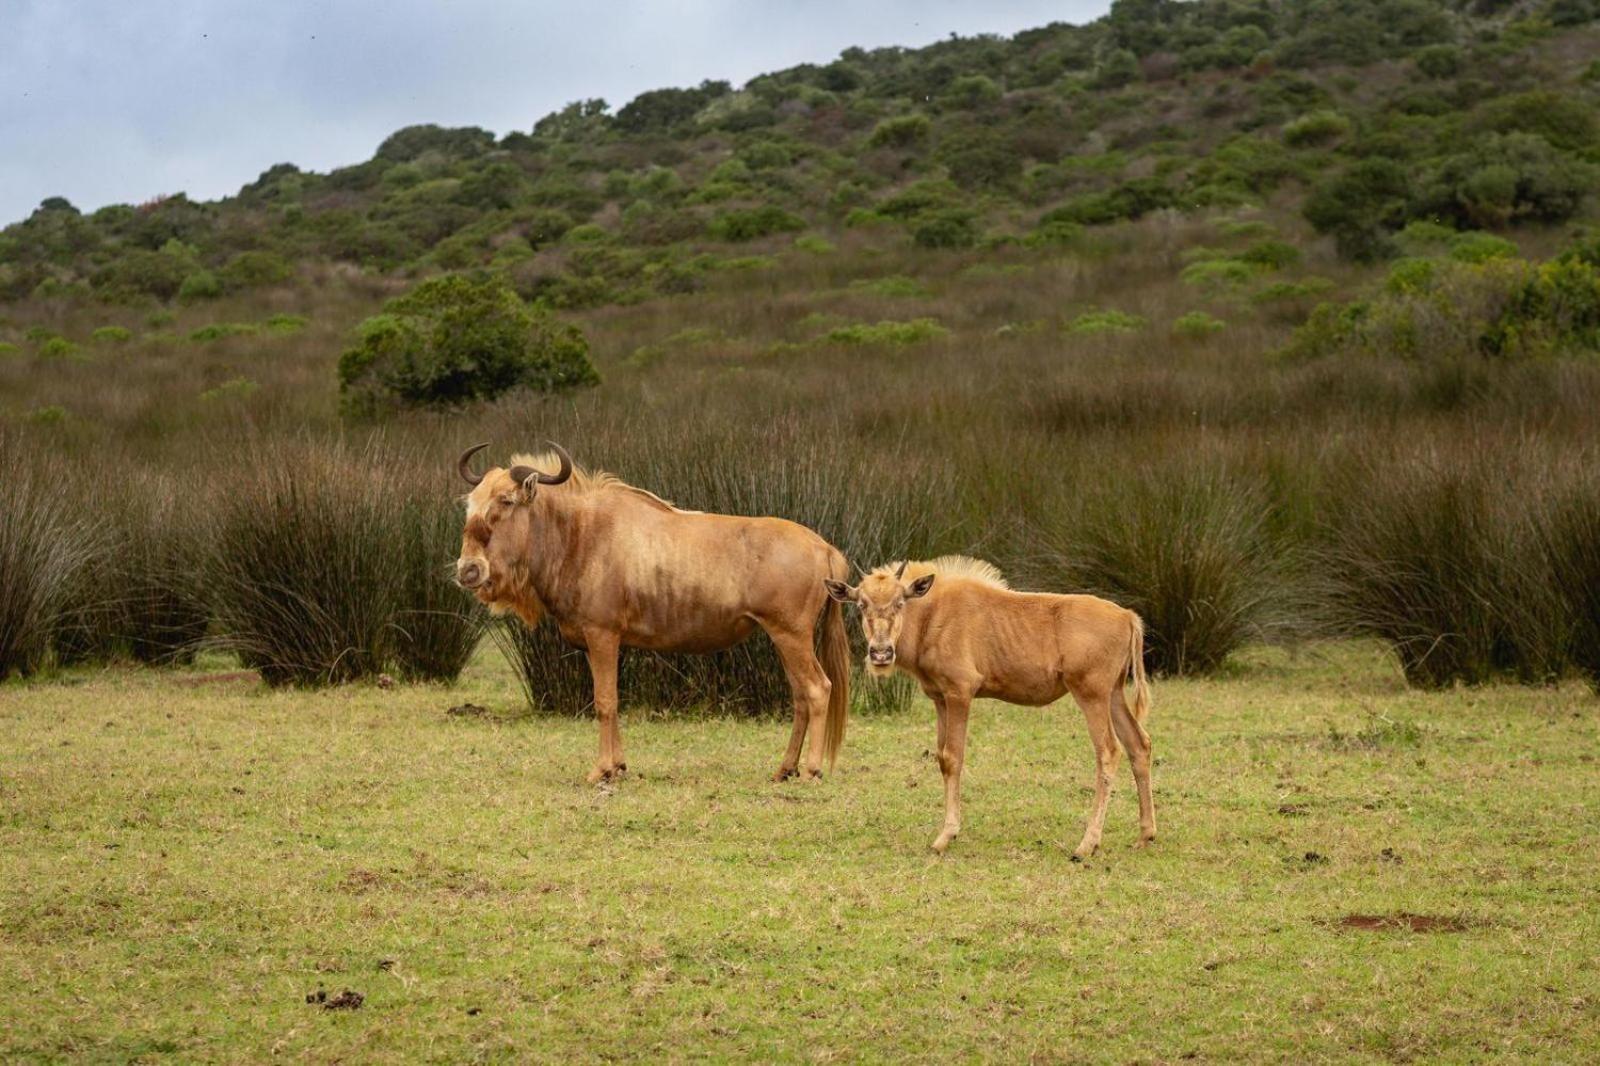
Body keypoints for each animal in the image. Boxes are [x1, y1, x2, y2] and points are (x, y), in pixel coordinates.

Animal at [825, 557, 1152, 857]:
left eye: (900, 602)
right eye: (861, 604)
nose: (880, 654)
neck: (931, 616)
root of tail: (1128, 617)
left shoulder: (960, 692)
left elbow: (953, 757)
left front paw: (946, 835)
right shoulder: (940, 698)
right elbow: (942, 758)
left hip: (1091, 694)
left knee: (1109, 752)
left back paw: (1087, 843)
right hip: (1113, 694)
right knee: (1139, 745)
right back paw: (1145, 835)